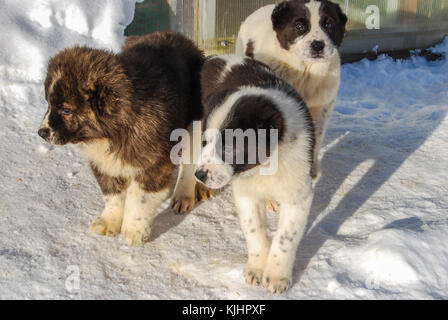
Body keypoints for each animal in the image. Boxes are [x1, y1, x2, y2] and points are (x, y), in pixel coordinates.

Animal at [196, 54, 316, 292]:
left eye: (228, 148)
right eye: (205, 142)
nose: (200, 175)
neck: (265, 166)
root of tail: (217, 56)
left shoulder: (298, 195)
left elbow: (285, 238)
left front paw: (277, 276)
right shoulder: (246, 195)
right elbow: (255, 231)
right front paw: (257, 269)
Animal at [236, 0, 348, 179]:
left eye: (329, 24)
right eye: (299, 26)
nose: (318, 45)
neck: (305, 72)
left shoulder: (322, 106)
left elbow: (317, 136)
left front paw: (312, 168)